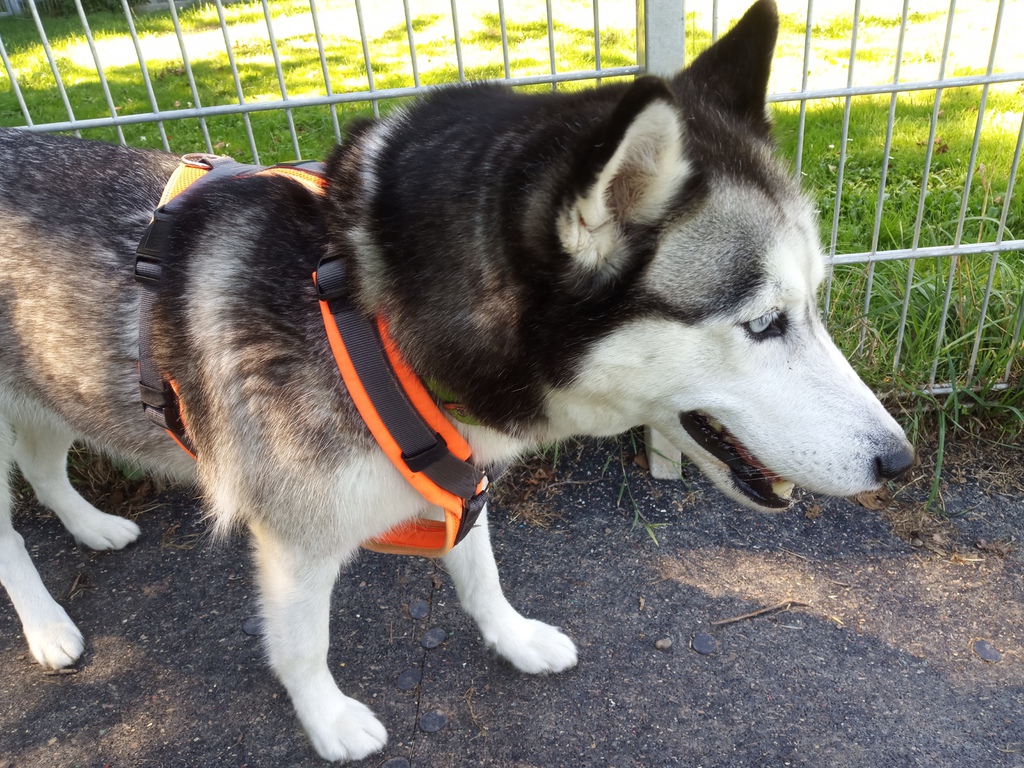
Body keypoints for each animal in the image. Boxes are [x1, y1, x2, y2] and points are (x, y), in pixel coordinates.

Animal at [0, 0, 913, 761]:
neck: (371, 312)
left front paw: (514, 639)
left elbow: (480, 572)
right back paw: (46, 627)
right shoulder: (295, 539)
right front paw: (328, 720)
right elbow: (302, 644)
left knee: (45, 471)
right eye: (763, 323)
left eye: (816, 301)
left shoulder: (456, 470)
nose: (898, 462)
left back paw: (91, 527)